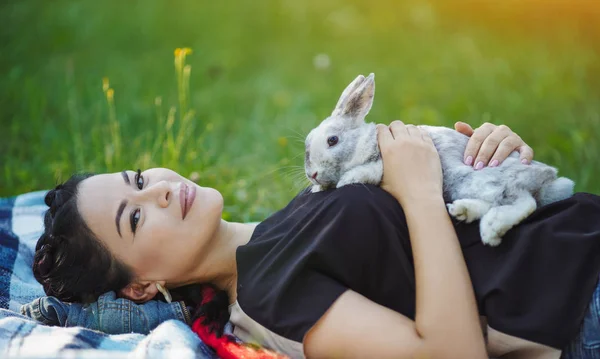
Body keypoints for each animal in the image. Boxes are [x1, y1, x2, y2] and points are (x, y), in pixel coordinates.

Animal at [304, 74, 572, 246]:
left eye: (332, 140)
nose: (312, 175)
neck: (366, 140)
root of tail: (548, 178)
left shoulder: (380, 162)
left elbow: (368, 170)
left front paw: (347, 180)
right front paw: (318, 189)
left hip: (478, 179)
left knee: (525, 203)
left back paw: (492, 228)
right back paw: (464, 212)